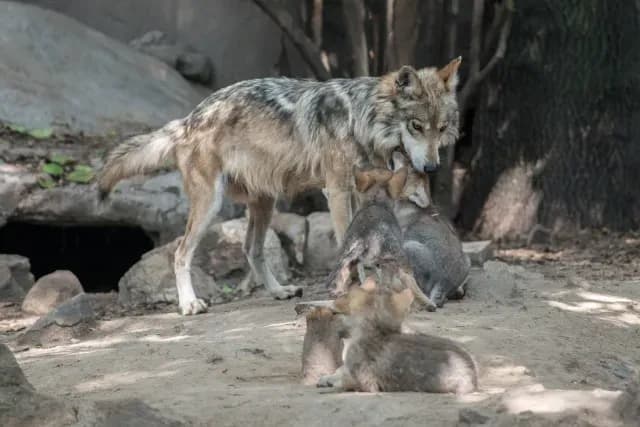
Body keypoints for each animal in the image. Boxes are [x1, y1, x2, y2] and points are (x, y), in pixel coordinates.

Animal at [98, 58, 461, 315]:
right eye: (416, 126)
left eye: (441, 128)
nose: (432, 168)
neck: (360, 120)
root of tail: (188, 120)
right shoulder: (337, 192)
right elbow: (350, 245)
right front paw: (357, 287)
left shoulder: (362, 191)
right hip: (210, 205)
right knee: (180, 252)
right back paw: (189, 304)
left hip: (264, 203)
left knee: (252, 249)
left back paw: (278, 291)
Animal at [316, 278, 479, 394]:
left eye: (336, 313)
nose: (330, 307)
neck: (378, 330)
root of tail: (474, 379)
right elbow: (339, 370)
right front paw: (326, 378)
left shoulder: (366, 384)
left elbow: (343, 379)